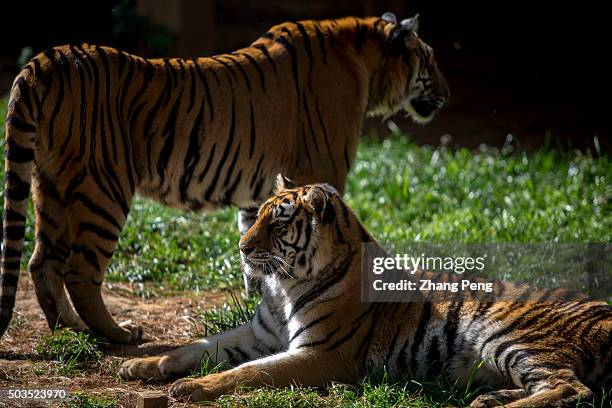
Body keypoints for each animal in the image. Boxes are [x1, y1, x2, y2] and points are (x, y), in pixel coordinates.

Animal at [0, 12, 450, 342]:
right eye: (430, 61)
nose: (447, 94)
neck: (364, 57)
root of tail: (44, 61)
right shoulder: (323, 170)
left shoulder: (259, 191)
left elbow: (259, 248)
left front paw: (263, 296)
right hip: (103, 189)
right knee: (79, 270)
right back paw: (119, 335)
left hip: (49, 186)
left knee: (42, 262)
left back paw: (70, 330)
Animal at [120, 178, 612, 408]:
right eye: (255, 216)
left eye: (277, 223)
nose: (241, 248)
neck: (283, 288)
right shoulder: (258, 334)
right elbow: (194, 347)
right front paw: (139, 365)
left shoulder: (321, 353)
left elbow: (248, 372)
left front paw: (191, 387)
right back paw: (489, 398)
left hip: (510, 334)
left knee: (572, 388)